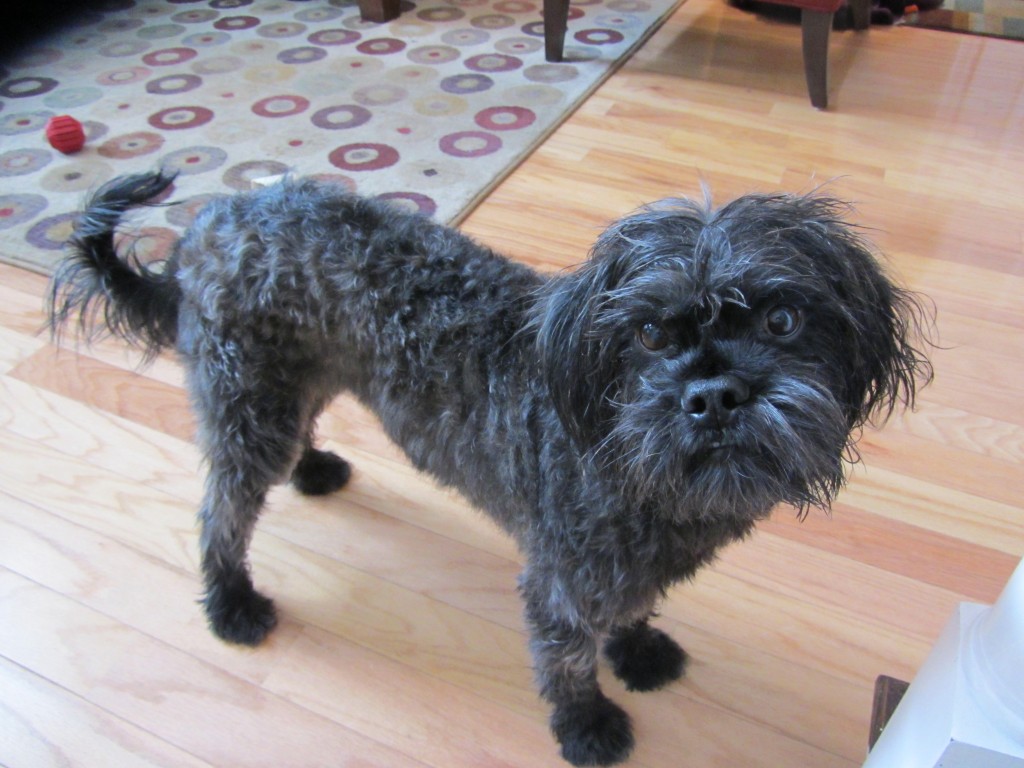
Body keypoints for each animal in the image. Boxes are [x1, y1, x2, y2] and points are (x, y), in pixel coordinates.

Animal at [48, 171, 933, 765]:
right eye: (649, 335)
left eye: (783, 319)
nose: (714, 396)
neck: (642, 470)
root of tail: (208, 223)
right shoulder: (563, 580)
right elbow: (567, 660)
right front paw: (588, 726)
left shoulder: (620, 568)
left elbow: (632, 609)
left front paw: (639, 651)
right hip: (250, 406)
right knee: (219, 515)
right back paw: (232, 603)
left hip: (299, 379)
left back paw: (315, 469)